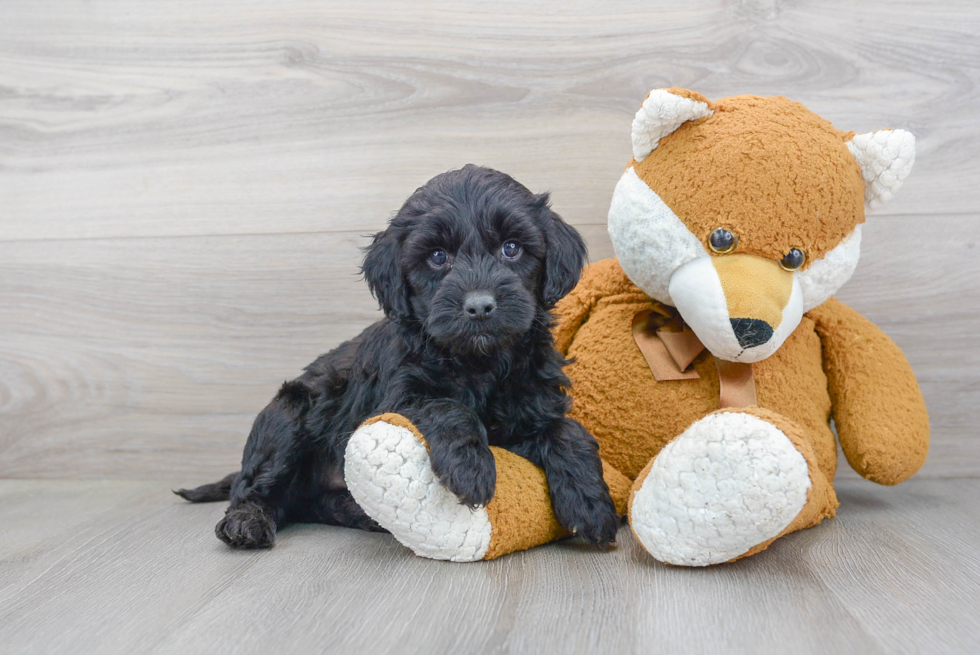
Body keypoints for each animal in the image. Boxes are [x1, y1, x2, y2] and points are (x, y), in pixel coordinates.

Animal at [178, 164, 620, 548]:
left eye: (511, 248)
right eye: (438, 257)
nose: (479, 306)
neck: (479, 362)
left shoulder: (531, 405)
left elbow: (568, 431)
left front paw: (591, 504)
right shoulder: (398, 395)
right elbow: (446, 406)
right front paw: (470, 468)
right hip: (289, 414)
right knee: (254, 487)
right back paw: (246, 522)